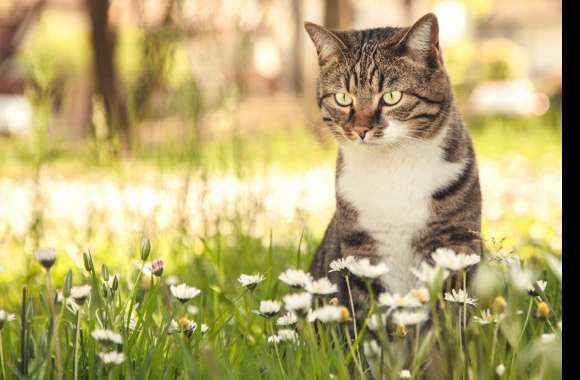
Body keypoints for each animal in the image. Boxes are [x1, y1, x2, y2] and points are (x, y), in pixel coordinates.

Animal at [304, 11, 480, 316]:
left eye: (391, 96)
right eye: (343, 98)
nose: (361, 129)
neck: (392, 166)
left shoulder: (455, 240)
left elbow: (451, 310)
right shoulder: (362, 248)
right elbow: (370, 313)